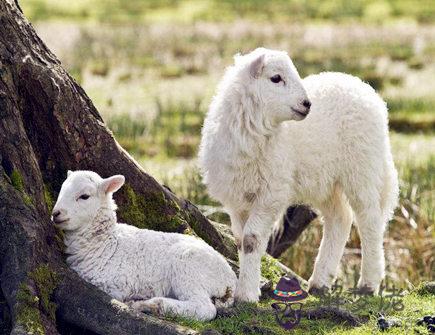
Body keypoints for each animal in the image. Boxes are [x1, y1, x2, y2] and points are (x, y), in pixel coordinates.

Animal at [52, 172, 237, 322]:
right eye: (62, 190)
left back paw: (151, 305)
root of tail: (230, 281)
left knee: (204, 308)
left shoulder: (115, 286)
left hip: (189, 270)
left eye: (84, 196)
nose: (56, 213)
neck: (105, 243)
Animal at [199, 48, 400, 304]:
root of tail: (362, 86)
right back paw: (320, 282)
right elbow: (240, 240)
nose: (307, 104)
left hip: (362, 167)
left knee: (370, 220)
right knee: (340, 219)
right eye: (276, 78)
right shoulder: (237, 200)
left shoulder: (271, 193)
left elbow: (252, 239)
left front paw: (246, 295)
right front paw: (246, 287)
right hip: (325, 181)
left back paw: (368, 283)